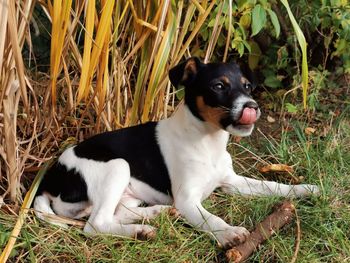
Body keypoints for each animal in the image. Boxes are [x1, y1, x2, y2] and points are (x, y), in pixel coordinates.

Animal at [33, 57, 320, 250]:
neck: (208, 141)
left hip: (128, 191)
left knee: (117, 212)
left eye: (248, 86)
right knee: (96, 224)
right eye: (219, 86)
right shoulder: (187, 199)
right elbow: (209, 218)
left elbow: (272, 186)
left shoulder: (232, 182)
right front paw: (226, 232)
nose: (252, 107)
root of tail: (49, 179)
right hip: (118, 166)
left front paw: (305, 189)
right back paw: (141, 230)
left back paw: (156, 213)